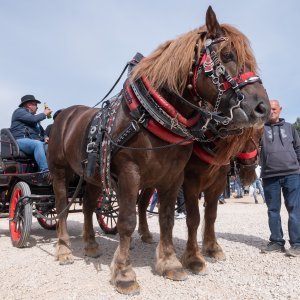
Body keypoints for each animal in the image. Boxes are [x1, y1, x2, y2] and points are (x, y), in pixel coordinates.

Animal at [137, 127, 262, 266]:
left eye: (260, 136)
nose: (250, 175)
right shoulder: (191, 183)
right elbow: (193, 219)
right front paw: (193, 257)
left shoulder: (218, 184)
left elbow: (211, 216)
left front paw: (212, 248)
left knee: (143, 203)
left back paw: (145, 233)